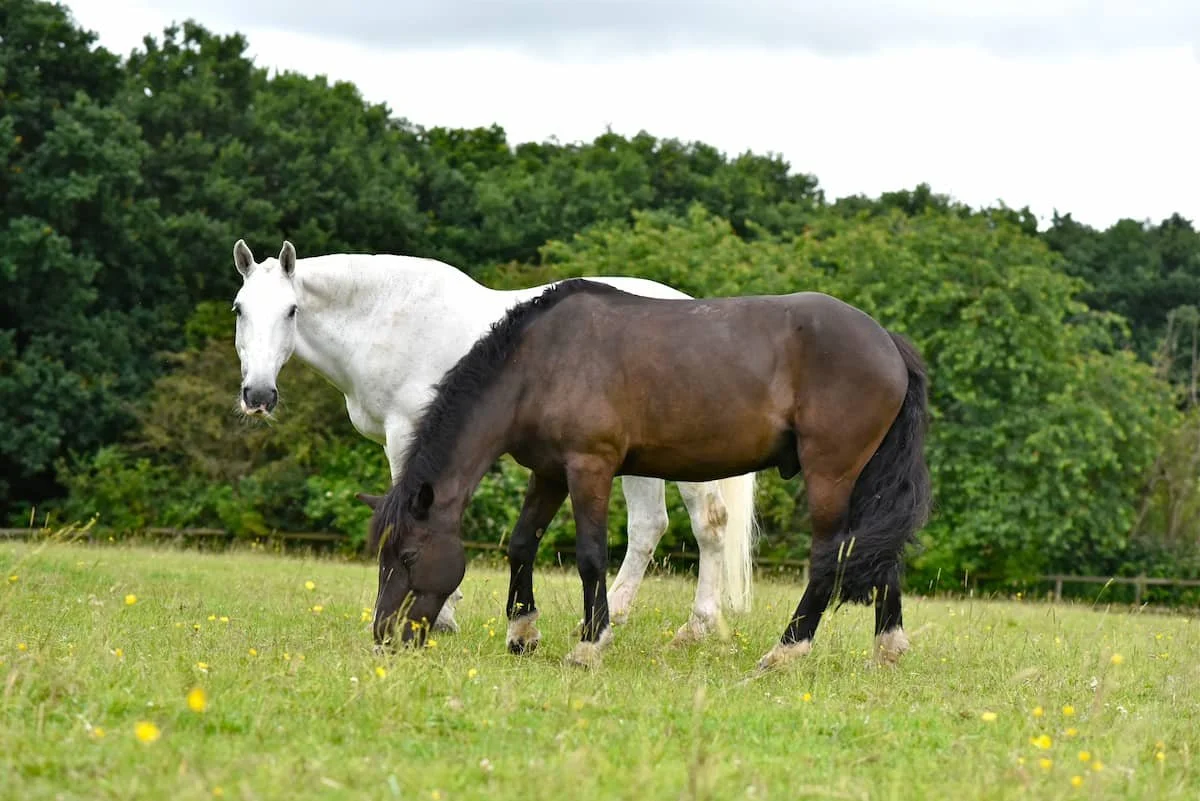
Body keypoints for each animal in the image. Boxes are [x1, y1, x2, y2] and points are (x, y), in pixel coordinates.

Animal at [230, 240, 758, 641]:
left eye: (292, 310)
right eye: (239, 309)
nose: (258, 394)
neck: (387, 317)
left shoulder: (406, 434)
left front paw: (442, 616)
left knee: (709, 524)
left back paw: (695, 627)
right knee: (648, 526)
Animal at [366, 278, 932, 670]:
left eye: (409, 555)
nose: (384, 635)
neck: (542, 362)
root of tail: (887, 342)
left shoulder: (589, 468)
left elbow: (591, 557)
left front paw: (589, 645)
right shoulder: (548, 473)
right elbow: (523, 543)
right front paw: (523, 633)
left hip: (830, 474)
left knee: (829, 556)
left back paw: (785, 652)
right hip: (863, 480)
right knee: (878, 552)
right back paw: (887, 648)